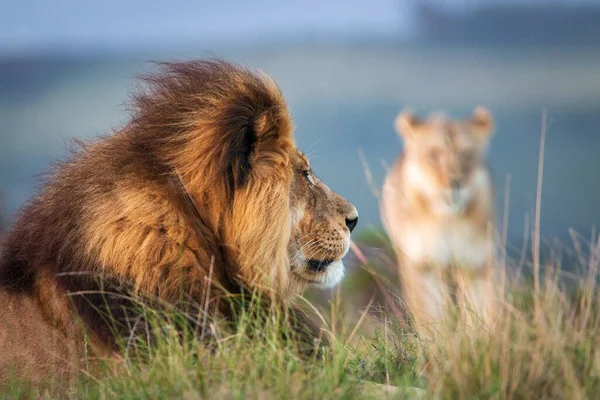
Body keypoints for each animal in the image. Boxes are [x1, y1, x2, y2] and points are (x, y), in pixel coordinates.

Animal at [384, 107, 496, 338]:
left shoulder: (478, 263)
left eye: (467, 155)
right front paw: (436, 343)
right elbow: (431, 315)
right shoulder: (423, 266)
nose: (455, 183)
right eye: (433, 155)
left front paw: (480, 340)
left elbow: (480, 311)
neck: (448, 221)